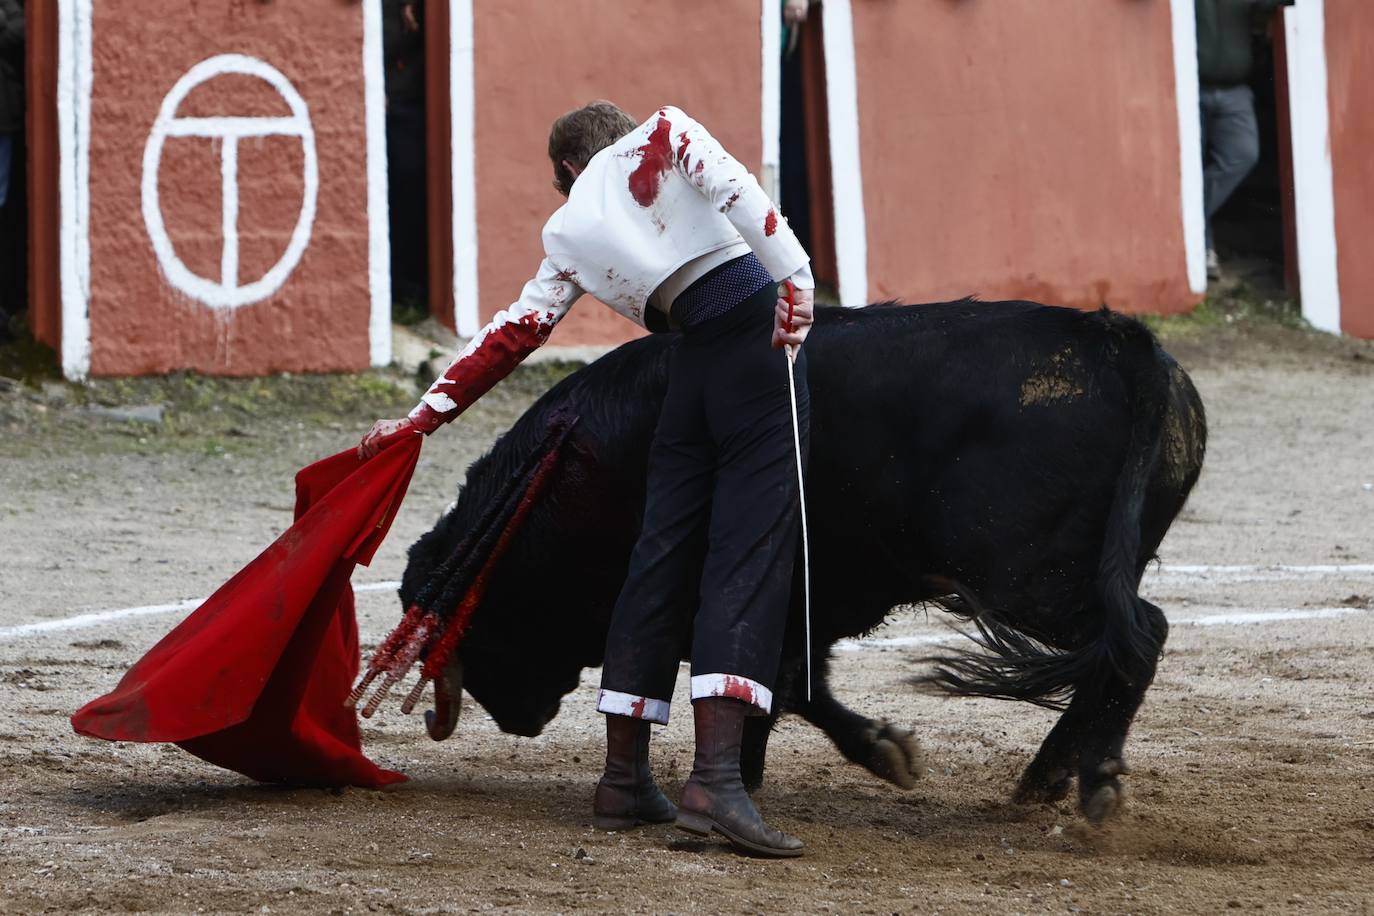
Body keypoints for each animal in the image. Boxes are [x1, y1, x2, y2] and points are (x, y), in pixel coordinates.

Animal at [398, 302, 1203, 823]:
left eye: (483, 622)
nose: (516, 720)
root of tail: (1117, 340)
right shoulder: (797, 603)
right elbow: (794, 684)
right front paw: (877, 752)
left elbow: (771, 681)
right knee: (1116, 652)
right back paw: (1044, 780)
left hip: (1029, 578)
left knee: (1137, 640)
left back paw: (1094, 784)